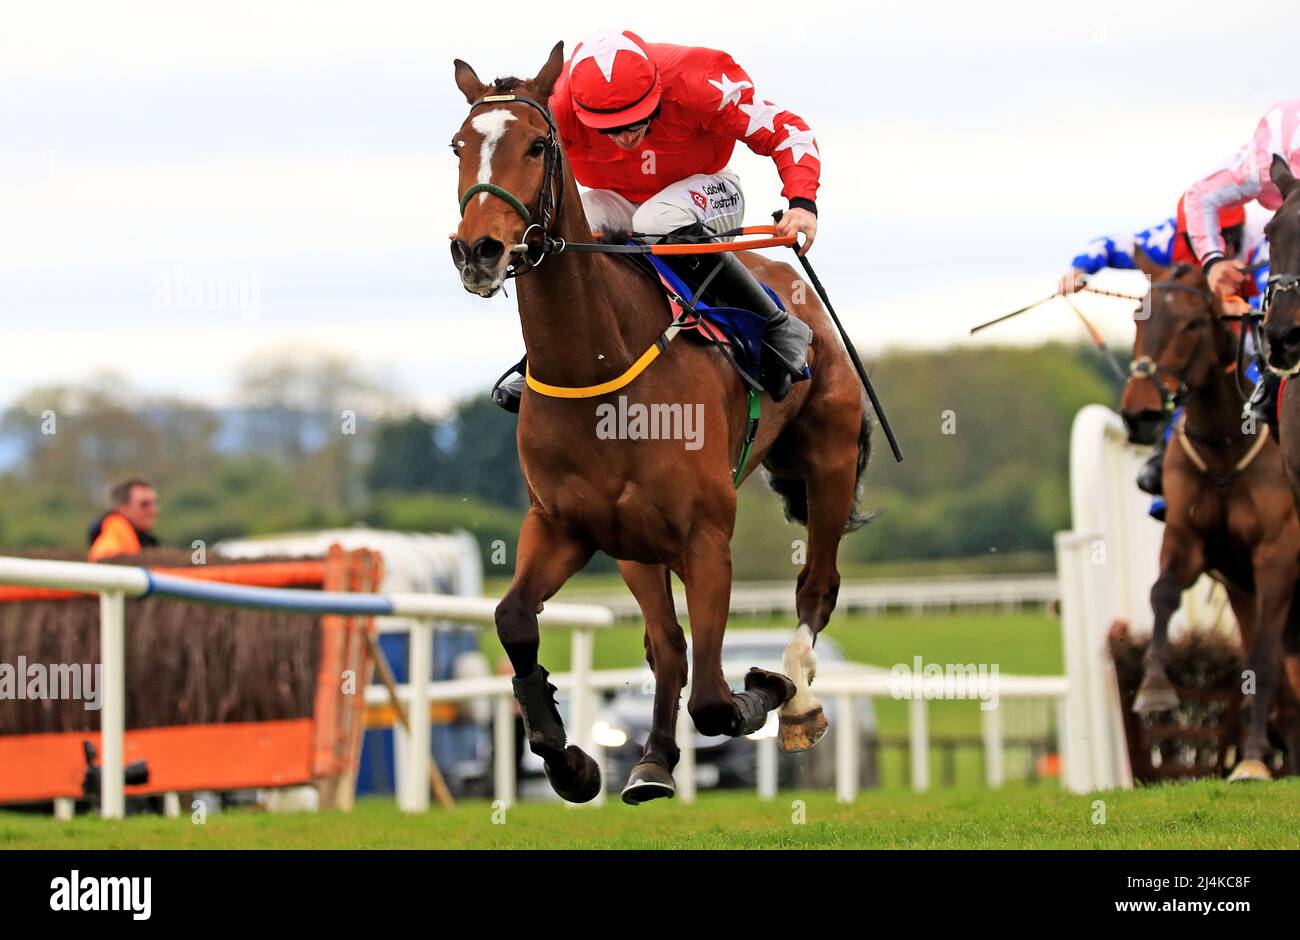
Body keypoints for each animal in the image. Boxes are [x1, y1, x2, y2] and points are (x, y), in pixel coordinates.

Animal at [449, 44, 873, 806]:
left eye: (536, 144)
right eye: (458, 146)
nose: (478, 251)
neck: (600, 367)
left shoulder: (706, 536)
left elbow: (716, 699)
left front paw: (765, 688)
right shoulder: (567, 525)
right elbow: (515, 618)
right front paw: (573, 760)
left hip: (826, 462)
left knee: (816, 588)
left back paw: (794, 696)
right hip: (637, 546)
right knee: (666, 645)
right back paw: (651, 761)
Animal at [1118, 253, 1300, 785]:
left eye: (1194, 323)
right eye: (1137, 317)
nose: (1140, 415)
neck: (1226, 447)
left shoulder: (1278, 557)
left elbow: (1262, 657)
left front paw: (1254, 756)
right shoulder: (1195, 545)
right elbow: (1162, 594)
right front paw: (1155, 687)